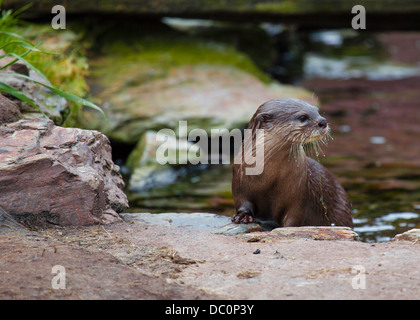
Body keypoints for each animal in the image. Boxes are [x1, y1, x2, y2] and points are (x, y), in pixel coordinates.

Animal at [231, 97, 352, 228]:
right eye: (303, 117)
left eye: (317, 111)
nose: (323, 121)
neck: (270, 177)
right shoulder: (239, 179)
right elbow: (242, 202)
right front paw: (243, 216)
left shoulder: (300, 192)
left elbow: (294, 216)